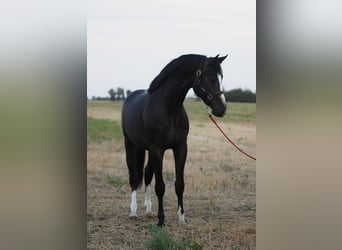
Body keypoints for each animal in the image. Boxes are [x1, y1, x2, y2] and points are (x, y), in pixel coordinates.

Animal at [121, 53, 227, 226]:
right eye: (211, 78)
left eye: (221, 78)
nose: (222, 109)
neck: (168, 109)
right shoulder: (158, 150)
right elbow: (160, 186)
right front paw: (161, 220)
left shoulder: (180, 148)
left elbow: (179, 184)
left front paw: (181, 218)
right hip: (131, 145)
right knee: (134, 176)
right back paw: (133, 212)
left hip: (148, 150)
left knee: (147, 173)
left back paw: (148, 210)